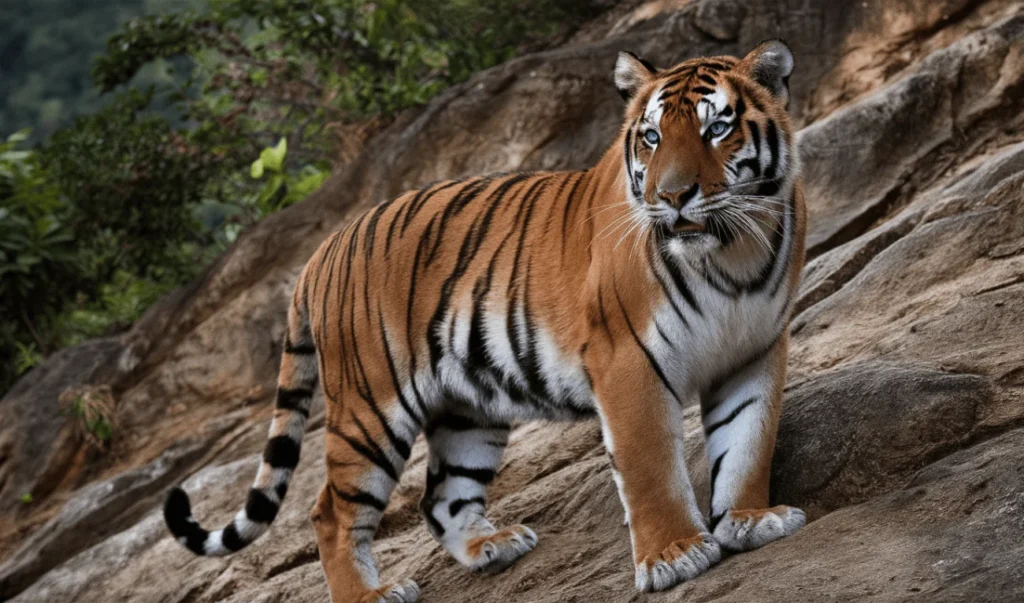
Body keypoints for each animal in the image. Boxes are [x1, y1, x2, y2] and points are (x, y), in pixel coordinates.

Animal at [165, 39, 806, 597]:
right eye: (651, 137)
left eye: (716, 128)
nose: (671, 197)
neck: (730, 255)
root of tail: (319, 253)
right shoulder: (628, 361)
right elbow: (650, 466)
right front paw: (676, 555)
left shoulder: (754, 351)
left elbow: (748, 442)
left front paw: (751, 520)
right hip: (370, 406)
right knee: (328, 512)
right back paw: (371, 595)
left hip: (466, 407)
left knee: (440, 497)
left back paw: (491, 547)